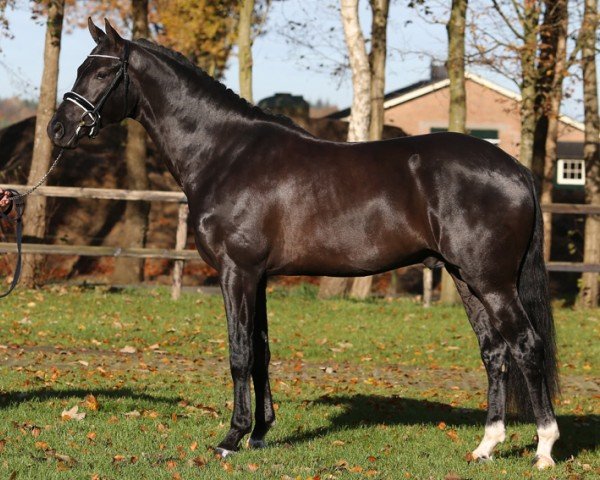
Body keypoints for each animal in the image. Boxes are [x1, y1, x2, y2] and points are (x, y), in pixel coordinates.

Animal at [49, 20, 560, 470]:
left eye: (101, 72)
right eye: (80, 68)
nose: (58, 129)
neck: (225, 153)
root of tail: (516, 169)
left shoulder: (237, 272)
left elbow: (239, 353)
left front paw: (231, 438)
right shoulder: (257, 278)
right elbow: (261, 353)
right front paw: (259, 434)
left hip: (491, 281)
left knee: (526, 346)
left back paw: (543, 449)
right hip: (466, 279)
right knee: (495, 353)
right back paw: (486, 446)